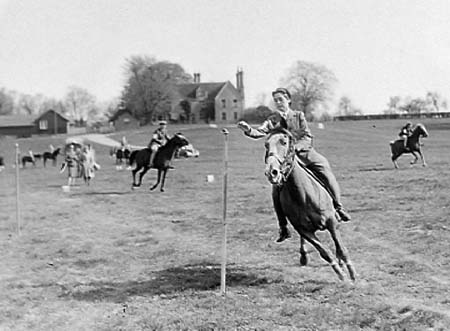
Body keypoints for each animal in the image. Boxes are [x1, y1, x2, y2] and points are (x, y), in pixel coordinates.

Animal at [264, 128, 356, 282]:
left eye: (284, 142)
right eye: (266, 145)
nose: (272, 172)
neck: (303, 195)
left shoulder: (331, 222)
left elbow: (341, 248)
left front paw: (352, 274)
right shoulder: (304, 230)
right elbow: (325, 252)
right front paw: (341, 275)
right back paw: (304, 256)